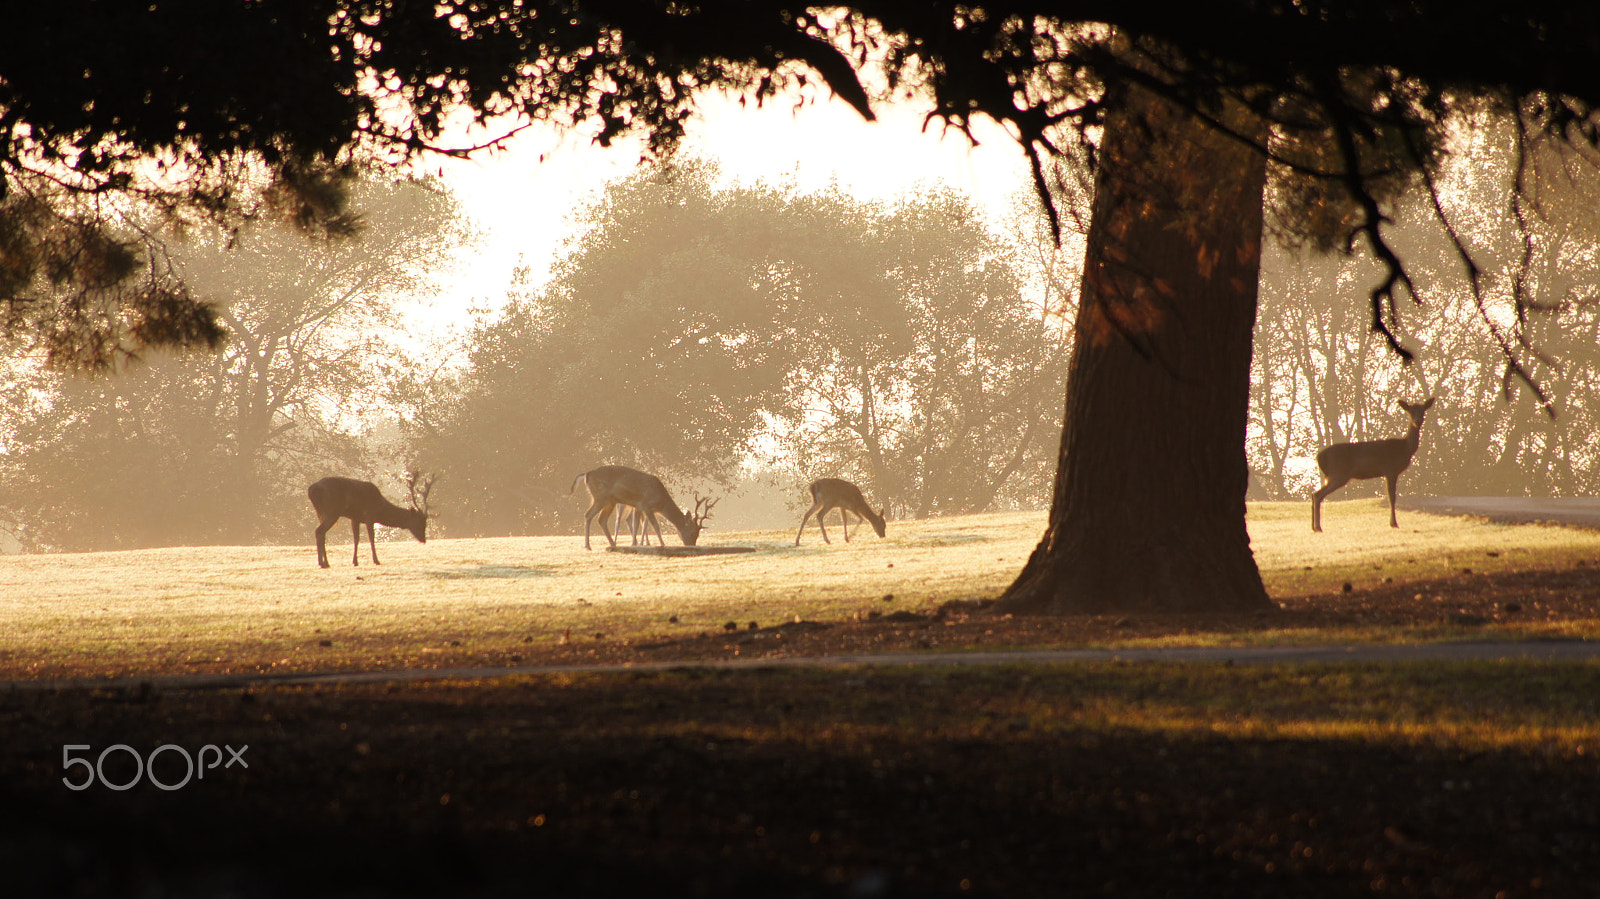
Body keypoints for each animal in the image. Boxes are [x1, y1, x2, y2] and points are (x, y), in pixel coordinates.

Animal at [570, 465, 714, 550]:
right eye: (692, 532)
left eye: (698, 534)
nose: (691, 545)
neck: (661, 503)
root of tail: (587, 474)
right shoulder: (646, 506)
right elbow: (655, 526)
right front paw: (662, 544)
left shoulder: (638, 506)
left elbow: (636, 524)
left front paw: (635, 544)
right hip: (601, 497)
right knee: (588, 515)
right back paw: (588, 546)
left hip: (610, 501)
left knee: (601, 519)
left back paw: (612, 544)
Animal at [1311, 397, 1435, 533]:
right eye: (1410, 411)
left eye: (1422, 411)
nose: (1417, 421)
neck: (1405, 449)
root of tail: (1320, 456)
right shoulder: (1391, 470)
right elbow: (1392, 497)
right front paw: (1394, 523)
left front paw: (1392, 523)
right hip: (1338, 473)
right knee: (1317, 495)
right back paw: (1318, 527)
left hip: (1334, 475)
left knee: (1315, 494)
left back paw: (1314, 527)